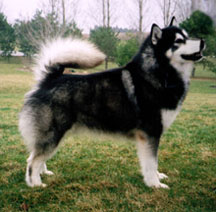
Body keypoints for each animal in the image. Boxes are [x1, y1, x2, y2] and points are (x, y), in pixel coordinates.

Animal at [18, 17, 204, 188]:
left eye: (187, 36)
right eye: (178, 41)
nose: (203, 42)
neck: (158, 73)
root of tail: (49, 80)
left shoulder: (151, 135)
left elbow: (152, 162)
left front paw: (158, 178)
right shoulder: (150, 133)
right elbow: (151, 163)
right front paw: (155, 185)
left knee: (33, 156)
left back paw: (43, 173)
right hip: (53, 134)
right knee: (33, 161)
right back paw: (35, 184)